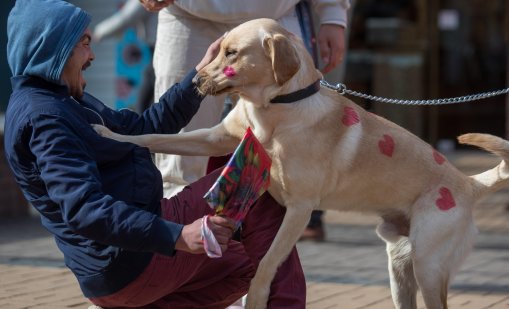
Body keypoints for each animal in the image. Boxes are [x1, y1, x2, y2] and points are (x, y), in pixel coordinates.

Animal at [93, 18, 508, 308]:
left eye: (232, 54)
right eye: (219, 49)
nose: (194, 83)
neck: (274, 110)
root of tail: (468, 183)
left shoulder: (299, 209)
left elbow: (265, 265)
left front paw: (257, 298)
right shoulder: (215, 138)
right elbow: (153, 138)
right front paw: (109, 135)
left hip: (428, 266)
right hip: (399, 270)